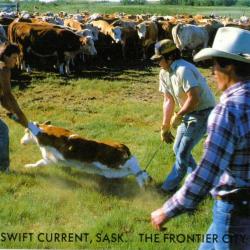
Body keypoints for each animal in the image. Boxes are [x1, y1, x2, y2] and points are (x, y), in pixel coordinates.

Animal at [21, 123, 150, 188]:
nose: (21, 141)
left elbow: (40, 161)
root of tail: (121, 145)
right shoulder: (50, 160)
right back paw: (143, 182)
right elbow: (39, 163)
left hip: (113, 162)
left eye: (26, 132)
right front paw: (28, 166)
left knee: (134, 162)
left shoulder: (51, 156)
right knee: (134, 171)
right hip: (111, 172)